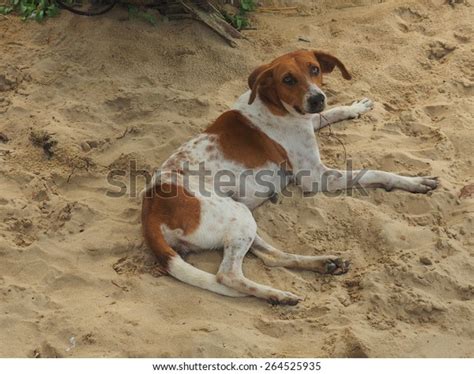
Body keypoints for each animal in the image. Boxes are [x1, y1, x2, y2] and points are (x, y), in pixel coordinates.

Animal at [143, 49, 438, 306]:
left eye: (315, 69)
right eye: (288, 79)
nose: (317, 98)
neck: (274, 105)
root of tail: (151, 207)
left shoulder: (309, 119)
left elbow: (331, 113)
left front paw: (356, 107)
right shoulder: (317, 176)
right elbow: (373, 171)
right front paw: (413, 181)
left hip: (240, 219)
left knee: (271, 256)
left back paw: (323, 264)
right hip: (236, 214)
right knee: (228, 275)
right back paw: (278, 294)